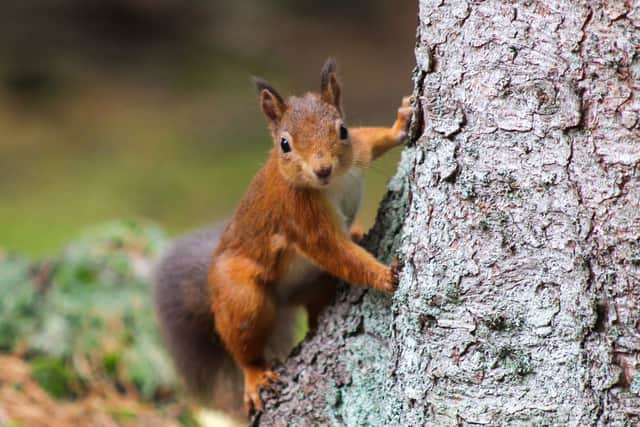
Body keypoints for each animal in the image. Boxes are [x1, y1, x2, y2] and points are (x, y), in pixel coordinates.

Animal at [154, 58, 410, 416]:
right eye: (284, 144)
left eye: (342, 130)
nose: (322, 169)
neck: (332, 184)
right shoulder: (301, 217)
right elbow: (335, 252)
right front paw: (386, 275)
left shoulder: (357, 151)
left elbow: (370, 139)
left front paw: (401, 122)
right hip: (241, 296)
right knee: (243, 343)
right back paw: (254, 376)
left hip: (315, 284)